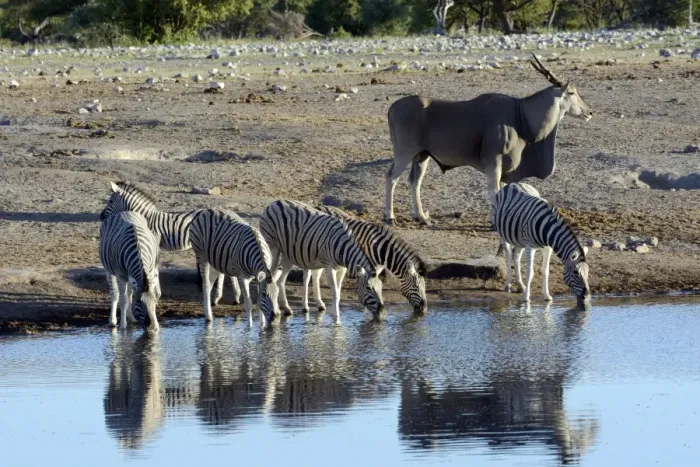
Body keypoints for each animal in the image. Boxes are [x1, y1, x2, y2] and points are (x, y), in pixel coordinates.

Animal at [102, 181, 241, 306]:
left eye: (111, 201)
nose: (101, 216)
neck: (148, 219)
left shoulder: (154, 246)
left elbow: (155, 270)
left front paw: (156, 294)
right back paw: (231, 297)